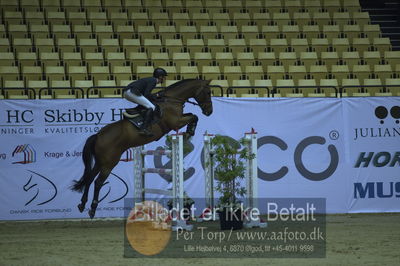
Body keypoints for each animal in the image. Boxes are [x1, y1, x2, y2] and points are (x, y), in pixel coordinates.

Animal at [69, 79, 212, 218]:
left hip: (100, 162)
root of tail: (98, 136)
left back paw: (82, 204)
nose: (209, 112)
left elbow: (192, 115)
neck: (172, 100)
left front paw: (189, 131)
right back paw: (92, 209)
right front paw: (189, 132)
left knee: (89, 178)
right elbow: (194, 116)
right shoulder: (175, 122)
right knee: (98, 182)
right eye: (208, 92)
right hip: (109, 163)